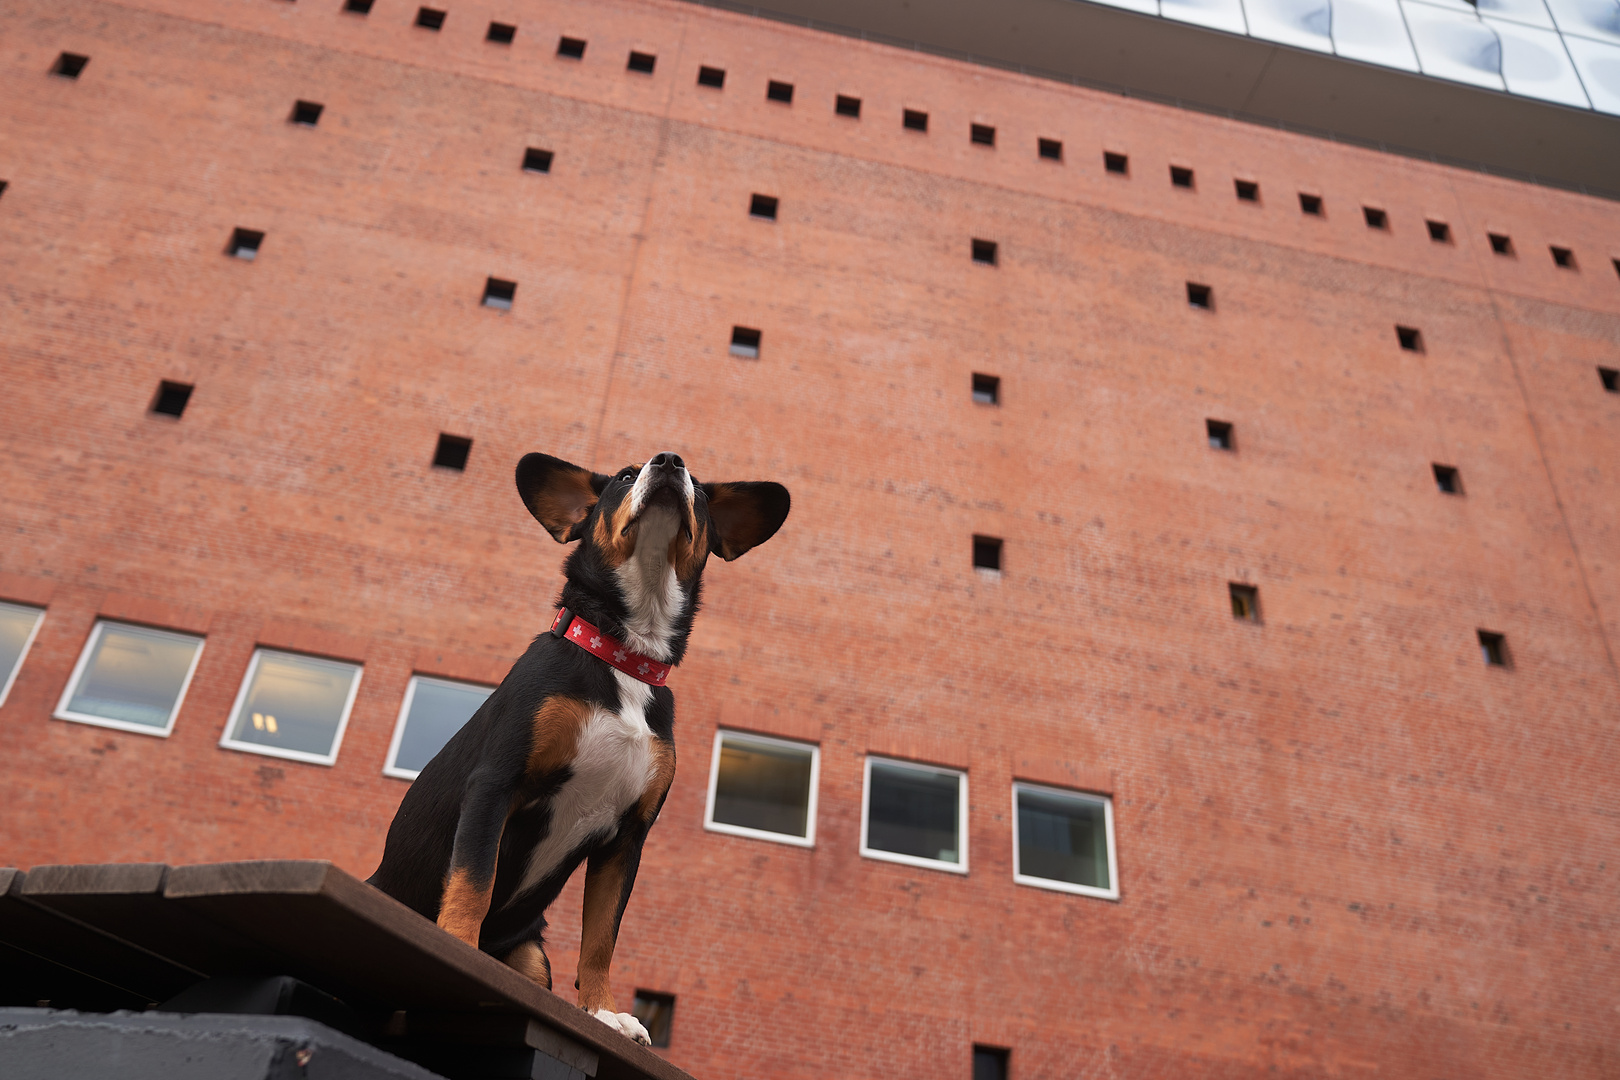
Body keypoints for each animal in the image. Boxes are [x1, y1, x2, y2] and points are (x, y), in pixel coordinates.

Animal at [372, 453, 790, 1042]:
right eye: (624, 476)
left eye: (700, 490)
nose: (669, 461)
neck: (624, 655)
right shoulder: (496, 785)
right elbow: (473, 882)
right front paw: (456, 948)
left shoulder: (627, 838)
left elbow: (600, 938)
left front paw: (602, 1011)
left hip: (531, 959)